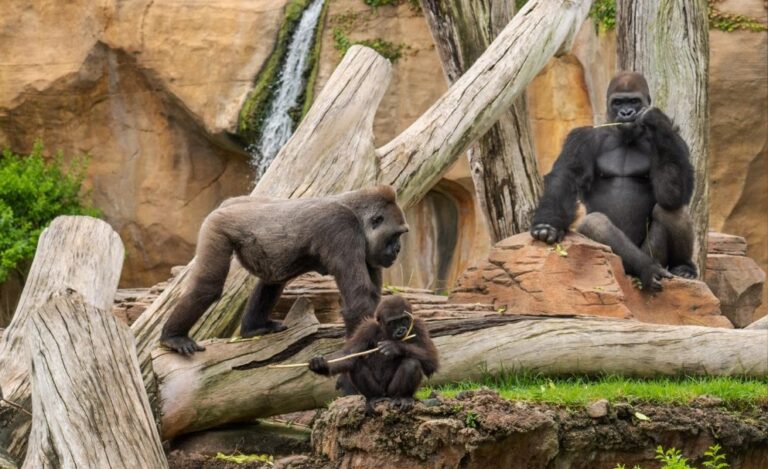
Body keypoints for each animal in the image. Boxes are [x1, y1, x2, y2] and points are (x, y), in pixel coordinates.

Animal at [160, 185, 408, 352]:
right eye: (395, 235)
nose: (398, 250)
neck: (357, 213)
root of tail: (229, 203)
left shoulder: (371, 253)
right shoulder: (342, 229)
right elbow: (358, 303)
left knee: (272, 281)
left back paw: (254, 328)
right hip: (217, 226)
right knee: (207, 287)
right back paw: (173, 337)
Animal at [308, 296, 438, 410]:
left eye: (404, 320)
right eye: (393, 322)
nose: (401, 330)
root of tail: (386, 395)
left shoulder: (419, 326)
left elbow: (431, 360)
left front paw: (395, 347)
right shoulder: (367, 328)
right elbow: (348, 354)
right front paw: (321, 365)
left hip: (390, 392)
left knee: (411, 363)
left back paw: (403, 397)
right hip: (379, 390)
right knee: (356, 365)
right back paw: (374, 397)